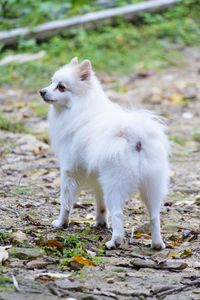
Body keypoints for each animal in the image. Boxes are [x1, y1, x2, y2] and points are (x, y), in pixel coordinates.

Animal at [39, 57, 170, 250]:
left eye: (61, 87)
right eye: (51, 82)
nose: (42, 91)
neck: (81, 106)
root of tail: (136, 138)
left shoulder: (69, 170)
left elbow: (66, 202)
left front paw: (61, 223)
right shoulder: (97, 177)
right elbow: (100, 203)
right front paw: (100, 222)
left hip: (115, 184)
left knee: (118, 214)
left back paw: (114, 241)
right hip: (151, 184)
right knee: (154, 216)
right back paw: (157, 244)